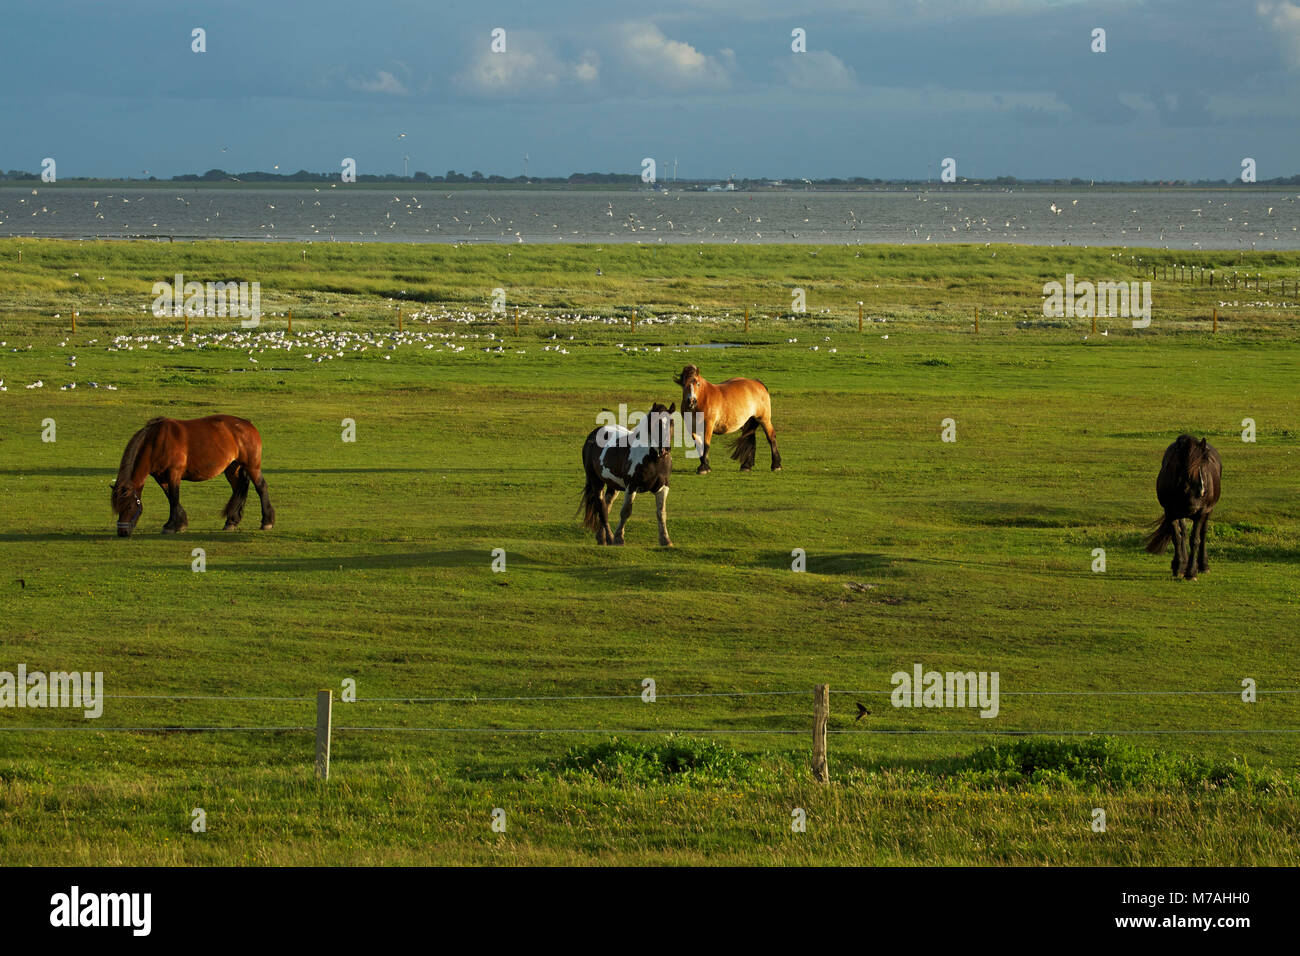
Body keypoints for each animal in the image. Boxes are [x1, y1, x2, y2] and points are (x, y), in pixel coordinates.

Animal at [109, 416, 274, 538]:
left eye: (129, 506)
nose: (122, 532)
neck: (157, 442)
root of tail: (247, 424)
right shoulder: (161, 478)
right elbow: (170, 497)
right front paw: (181, 523)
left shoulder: (174, 474)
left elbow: (174, 498)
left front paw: (171, 526)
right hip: (232, 469)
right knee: (238, 489)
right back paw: (231, 521)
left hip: (252, 467)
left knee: (261, 487)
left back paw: (266, 521)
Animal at [582, 403, 676, 546]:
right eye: (656, 423)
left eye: (671, 422)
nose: (665, 449)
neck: (654, 459)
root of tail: (593, 434)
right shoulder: (632, 486)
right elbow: (626, 512)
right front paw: (619, 538)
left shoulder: (663, 487)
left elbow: (661, 513)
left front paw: (666, 540)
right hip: (596, 481)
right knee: (601, 508)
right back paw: (609, 538)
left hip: (613, 485)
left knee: (606, 506)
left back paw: (601, 537)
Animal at [1144, 437, 1222, 580]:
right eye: (1183, 467)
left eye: (1204, 463)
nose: (1200, 492)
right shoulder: (1171, 512)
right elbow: (1177, 537)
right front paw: (1179, 566)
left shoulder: (1201, 512)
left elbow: (1195, 540)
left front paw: (1191, 572)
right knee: (1183, 534)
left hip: (1208, 511)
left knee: (1203, 533)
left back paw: (1203, 565)